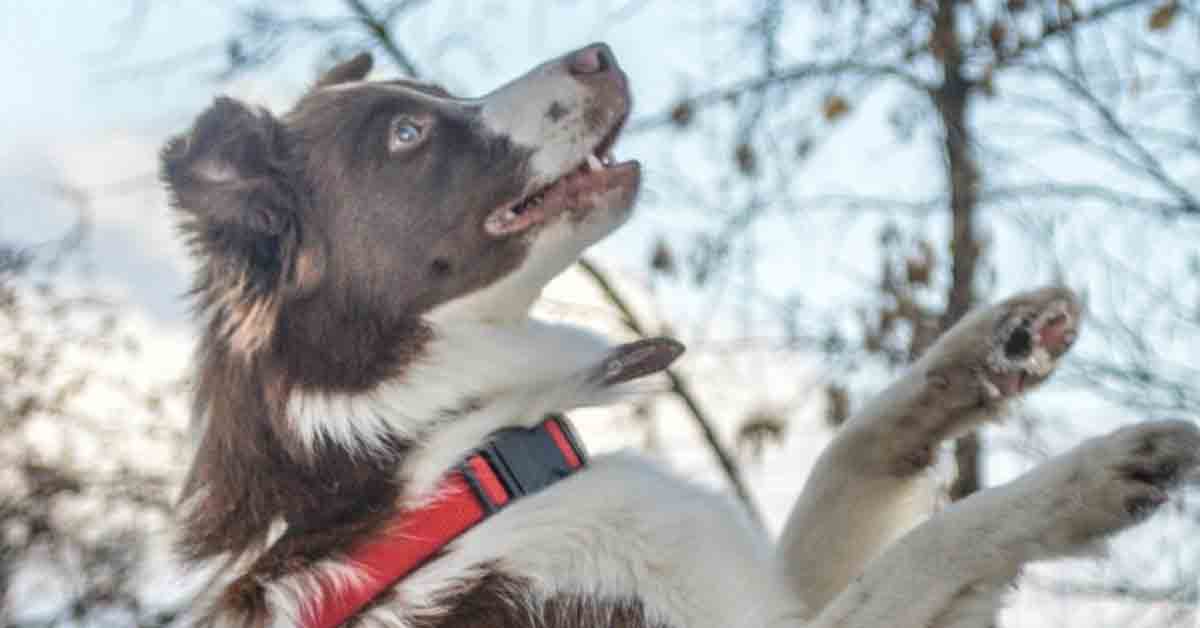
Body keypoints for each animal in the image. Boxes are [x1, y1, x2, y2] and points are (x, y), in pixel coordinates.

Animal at [162, 44, 1200, 628]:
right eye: (407, 135)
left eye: (436, 94)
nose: (600, 52)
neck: (453, 463)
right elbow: (940, 540)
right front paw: (1094, 478)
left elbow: (851, 453)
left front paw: (997, 347)